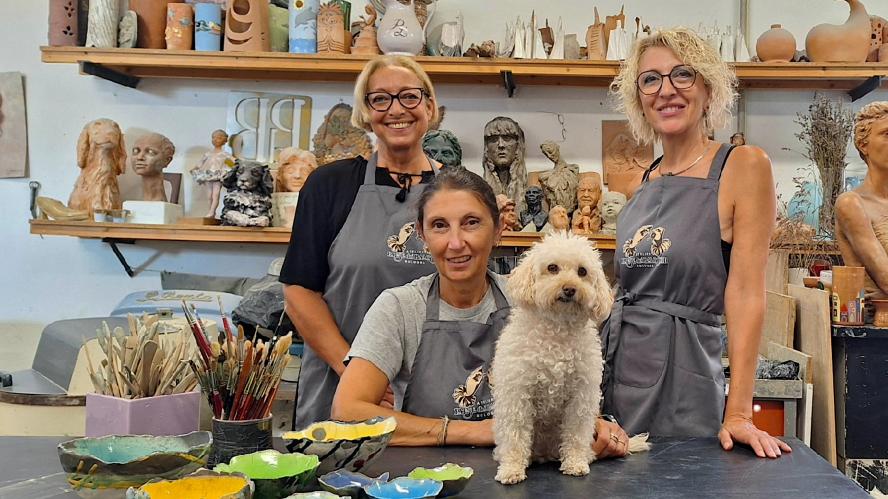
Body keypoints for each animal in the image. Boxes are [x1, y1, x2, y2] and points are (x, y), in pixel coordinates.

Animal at [492, 232, 644, 486]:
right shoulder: (517, 394)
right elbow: (516, 434)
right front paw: (511, 469)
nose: (570, 289)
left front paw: (575, 463)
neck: (557, 331)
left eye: (582, 271)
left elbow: (576, 433)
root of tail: (544, 452)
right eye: (552, 268)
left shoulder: (581, 397)